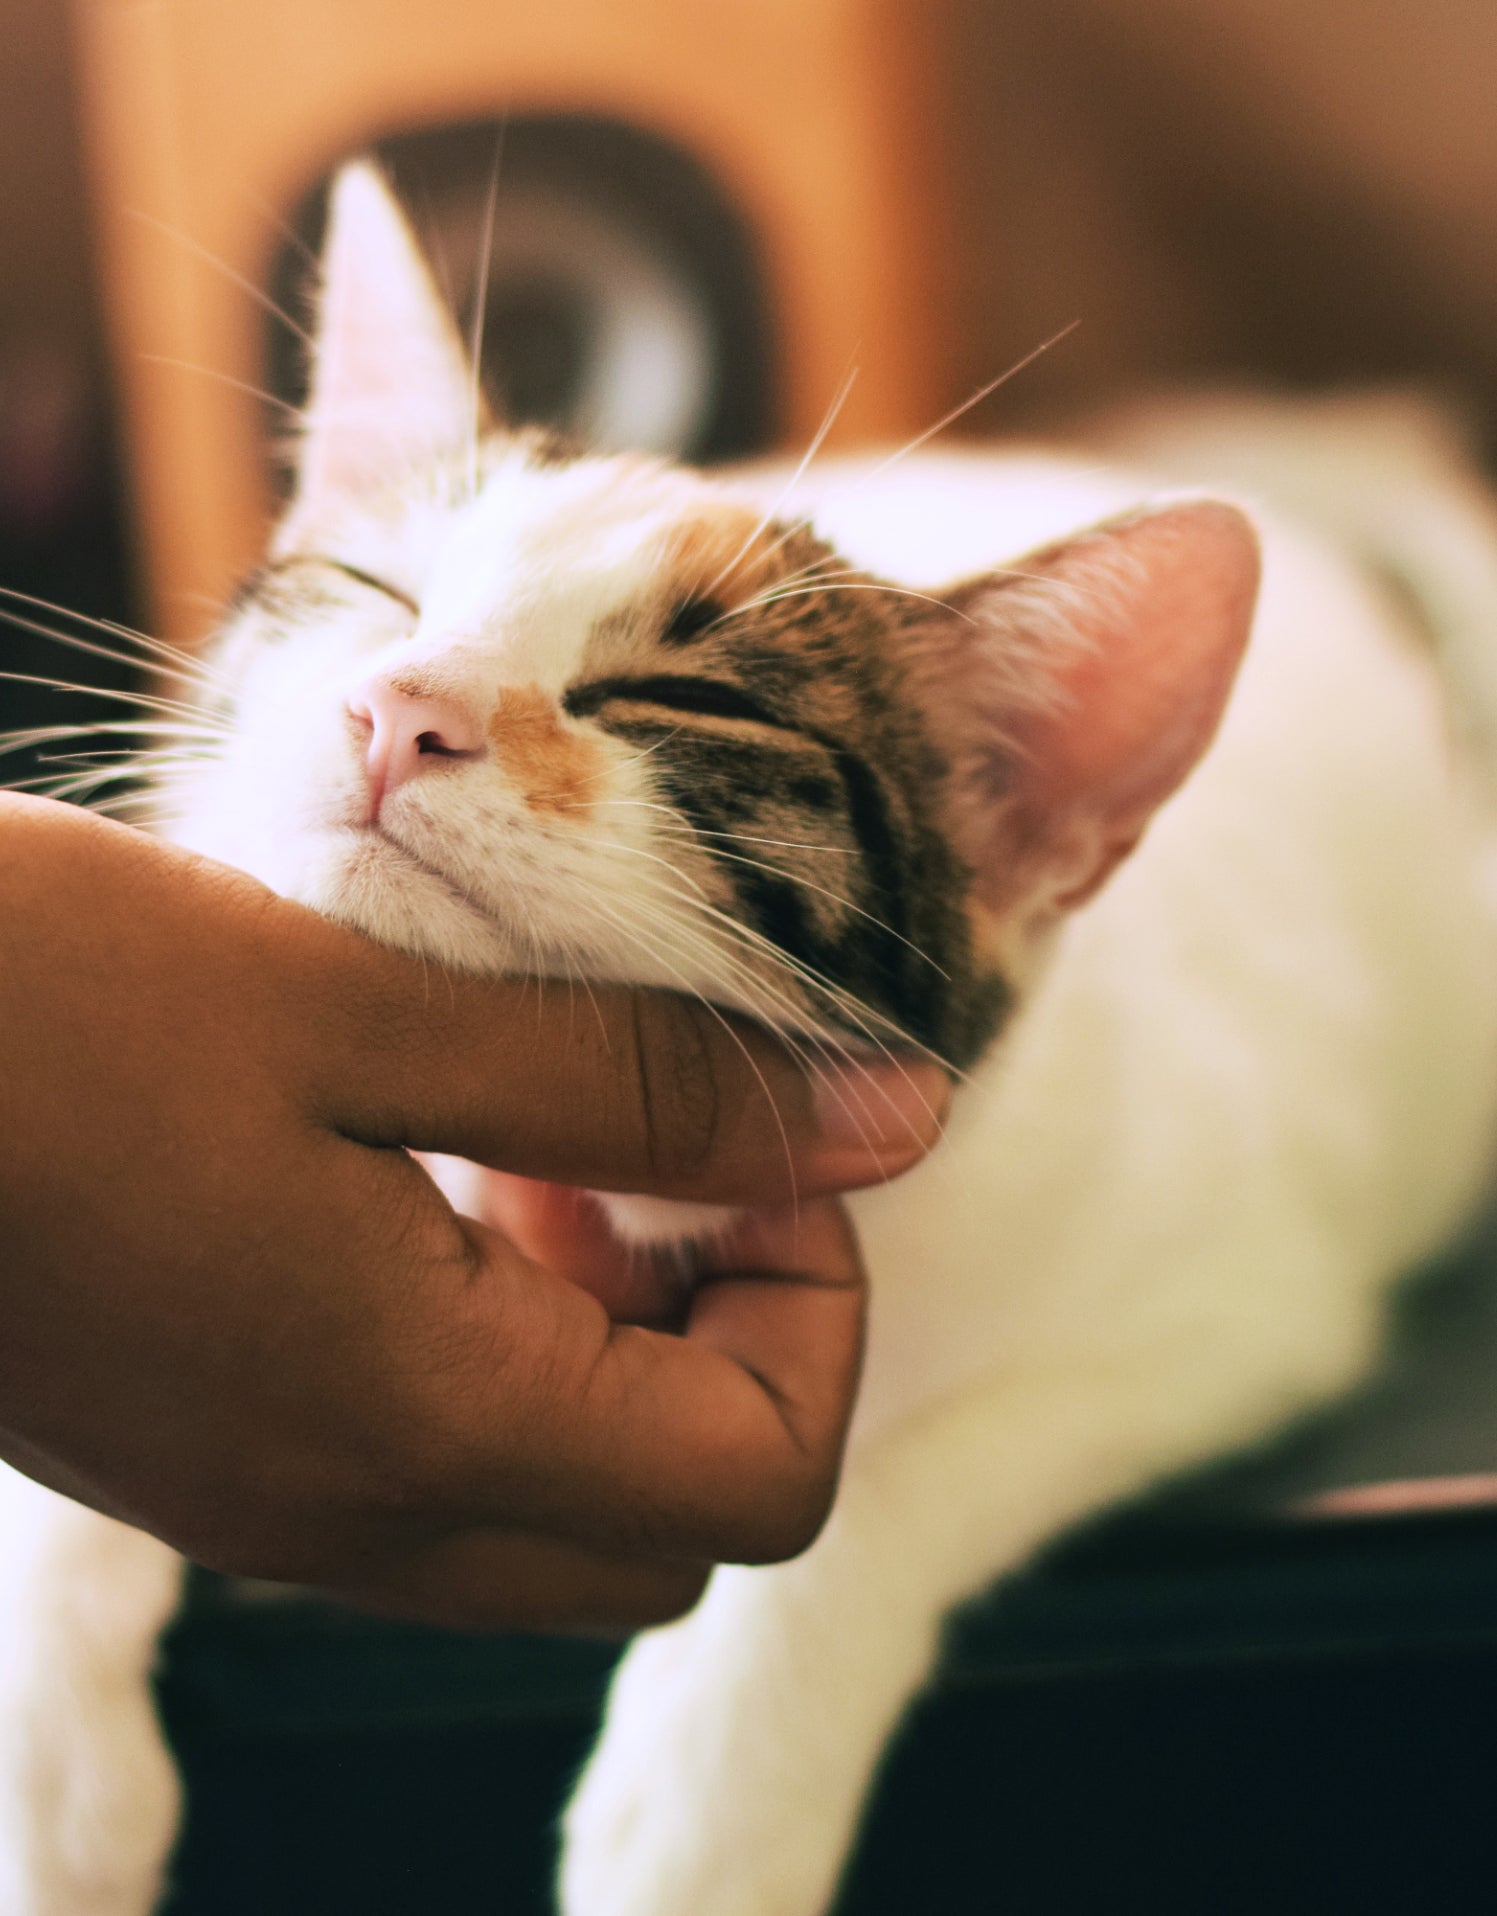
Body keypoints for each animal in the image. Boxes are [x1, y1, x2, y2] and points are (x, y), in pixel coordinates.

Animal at [2, 164, 1495, 1916]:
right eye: (377, 594)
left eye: (680, 701)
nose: (400, 704)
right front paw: (47, 1753)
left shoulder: (1237, 1307)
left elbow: (877, 1487)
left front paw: (702, 1812)